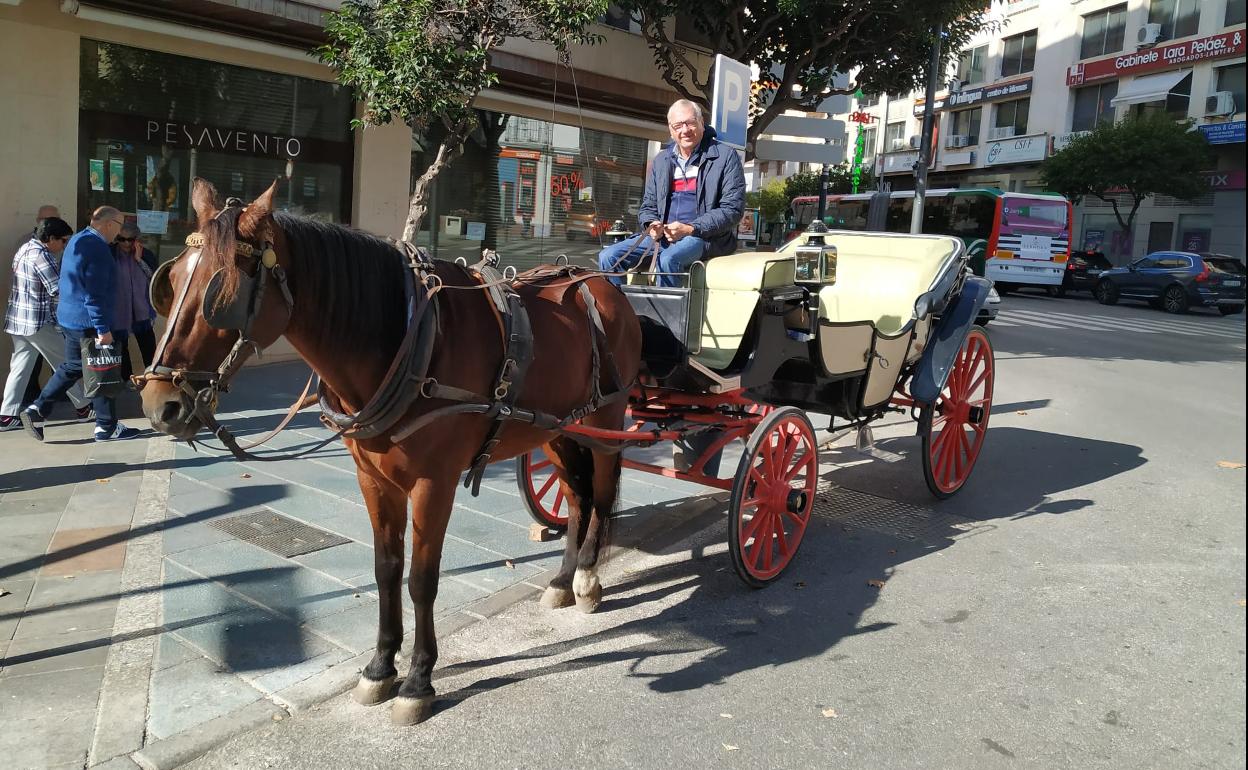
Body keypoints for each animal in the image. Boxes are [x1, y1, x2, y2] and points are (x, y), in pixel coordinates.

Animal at [137, 177, 643, 723]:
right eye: (171, 281)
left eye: (222, 292)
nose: (159, 405)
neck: (407, 339)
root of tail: (603, 284)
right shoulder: (374, 479)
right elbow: (386, 571)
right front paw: (380, 667)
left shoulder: (434, 483)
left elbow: (421, 578)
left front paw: (419, 680)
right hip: (556, 431)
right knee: (576, 498)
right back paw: (563, 580)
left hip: (605, 421)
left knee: (602, 491)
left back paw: (588, 578)